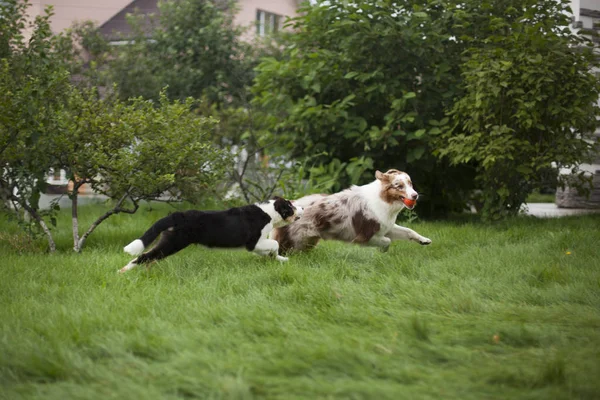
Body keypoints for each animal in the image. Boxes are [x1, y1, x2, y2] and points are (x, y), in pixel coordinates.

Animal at [119, 197, 302, 272]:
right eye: (291, 207)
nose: (302, 208)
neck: (269, 212)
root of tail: (177, 215)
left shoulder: (258, 245)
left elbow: (270, 250)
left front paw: (280, 259)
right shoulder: (253, 242)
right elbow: (274, 244)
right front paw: (278, 257)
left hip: (168, 241)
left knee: (150, 257)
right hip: (174, 242)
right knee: (144, 256)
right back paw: (123, 272)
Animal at [272, 169, 432, 253]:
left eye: (410, 183)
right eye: (399, 186)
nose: (415, 195)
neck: (384, 200)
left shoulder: (387, 226)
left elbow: (409, 231)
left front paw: (424, 240)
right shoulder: (366, 236)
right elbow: (387, 241)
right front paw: (383, 251)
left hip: (308, 240)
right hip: (296, 240)